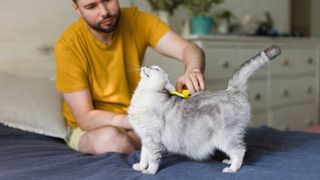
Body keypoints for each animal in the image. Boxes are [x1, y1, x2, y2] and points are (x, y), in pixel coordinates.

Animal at [129, 45, 282, 174]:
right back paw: (229, 161)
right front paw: (141, 166)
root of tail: (231, 90)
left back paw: (232, 168)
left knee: (240, 151)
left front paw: (150, 171)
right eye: (150, 67)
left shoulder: (152, 138)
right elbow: (144, 156)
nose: (147, 65)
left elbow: (153, 159)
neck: (142, 95)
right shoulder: (145, 139)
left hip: (226, 137)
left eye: (155, 69)